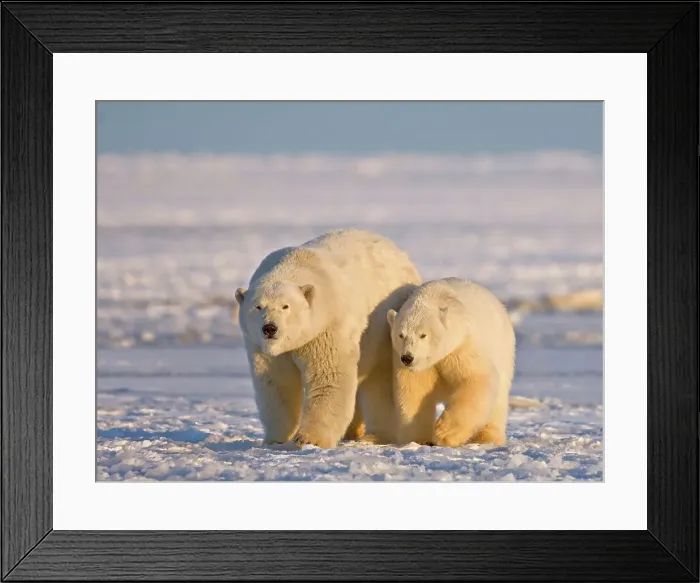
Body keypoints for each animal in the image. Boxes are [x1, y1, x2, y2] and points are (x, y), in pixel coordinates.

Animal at [235, 229, 422, 449]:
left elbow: (328, 377)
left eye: (285, 306)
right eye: (258, 306)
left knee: (380, 381)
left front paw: (309, 439)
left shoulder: (326, 328)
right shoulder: (263, 347)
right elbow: (277, 383)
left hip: (385, 326)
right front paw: (277, 438)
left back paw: (376, 435)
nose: (270, 328)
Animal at [386, 277, 516, 447]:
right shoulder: (413, 363)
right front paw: (419, 438)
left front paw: (443, 434)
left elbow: (476, 378)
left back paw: (486, 437)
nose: (407, 357)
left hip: (503, 351)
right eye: (401, 335)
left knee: (498, 399)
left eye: (423, 335)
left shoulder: (462, 346)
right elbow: (414, 389)